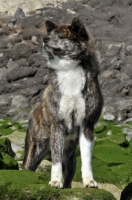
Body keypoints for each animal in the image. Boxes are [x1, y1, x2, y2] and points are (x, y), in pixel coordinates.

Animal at [23, 18, 103, 188]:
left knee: (69, 175)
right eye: (50, 34)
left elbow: (86, 158)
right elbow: (56, 160)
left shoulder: (87, 125)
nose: (45, 39)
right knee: (27, 167)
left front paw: (89, 181)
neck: (68, 69)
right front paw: (54, 181)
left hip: (71, 159)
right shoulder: (57, 125)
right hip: (35, 148)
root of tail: (35, 110)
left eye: (61, 36)